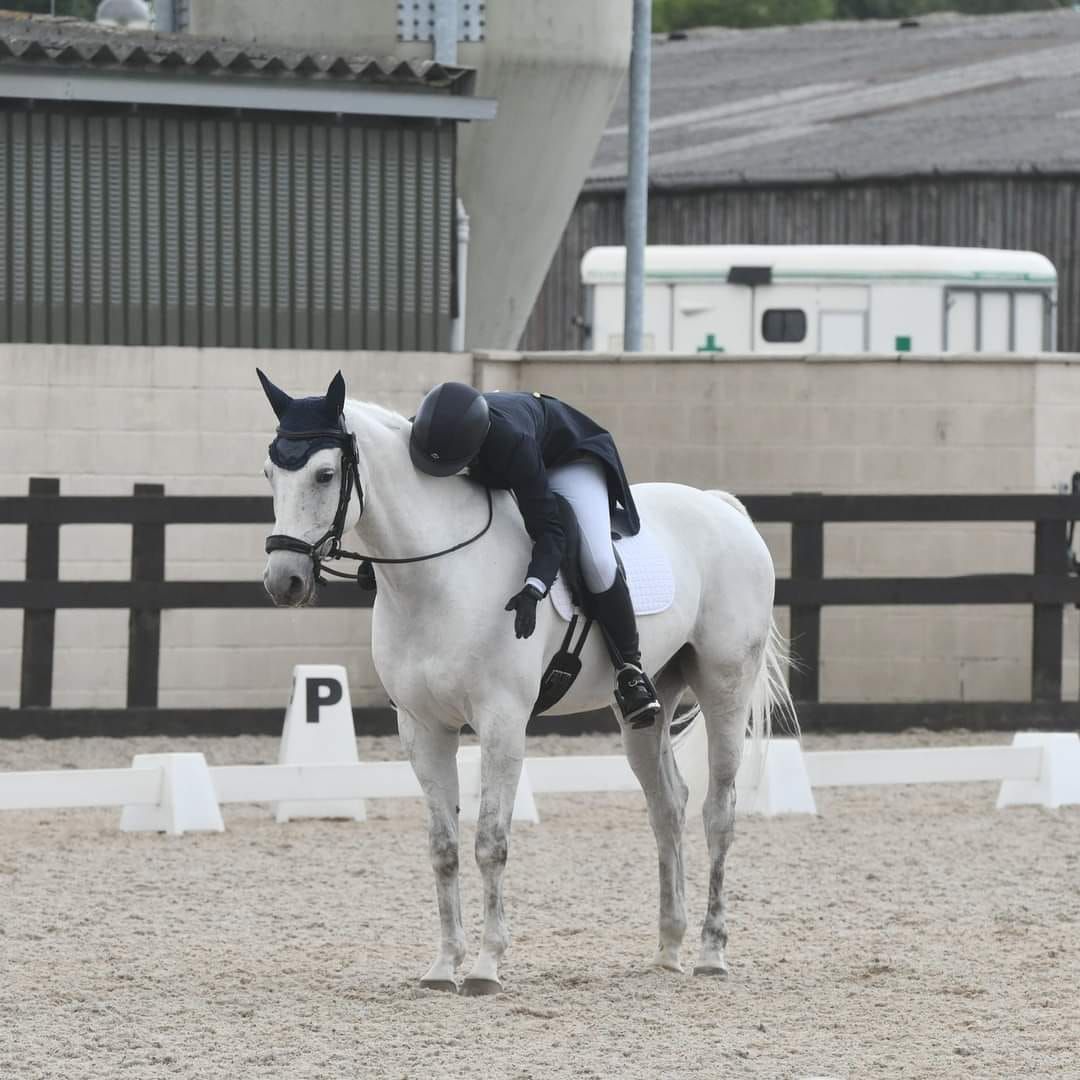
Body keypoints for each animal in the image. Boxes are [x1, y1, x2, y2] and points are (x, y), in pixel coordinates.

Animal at [263, 384, 794, 989]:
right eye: (269, 473)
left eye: (325, 474)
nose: (284, 582)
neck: (437, 575)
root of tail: (722, 508)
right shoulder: (422, 727)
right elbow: (443, 847)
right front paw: (443, 966)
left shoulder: (501, 722)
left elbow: (490, 842)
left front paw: (487, 966)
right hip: (649, 704)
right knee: (668, 806)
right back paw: (668, 948)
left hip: (726, 687)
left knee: (718, 812)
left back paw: (710, 952)